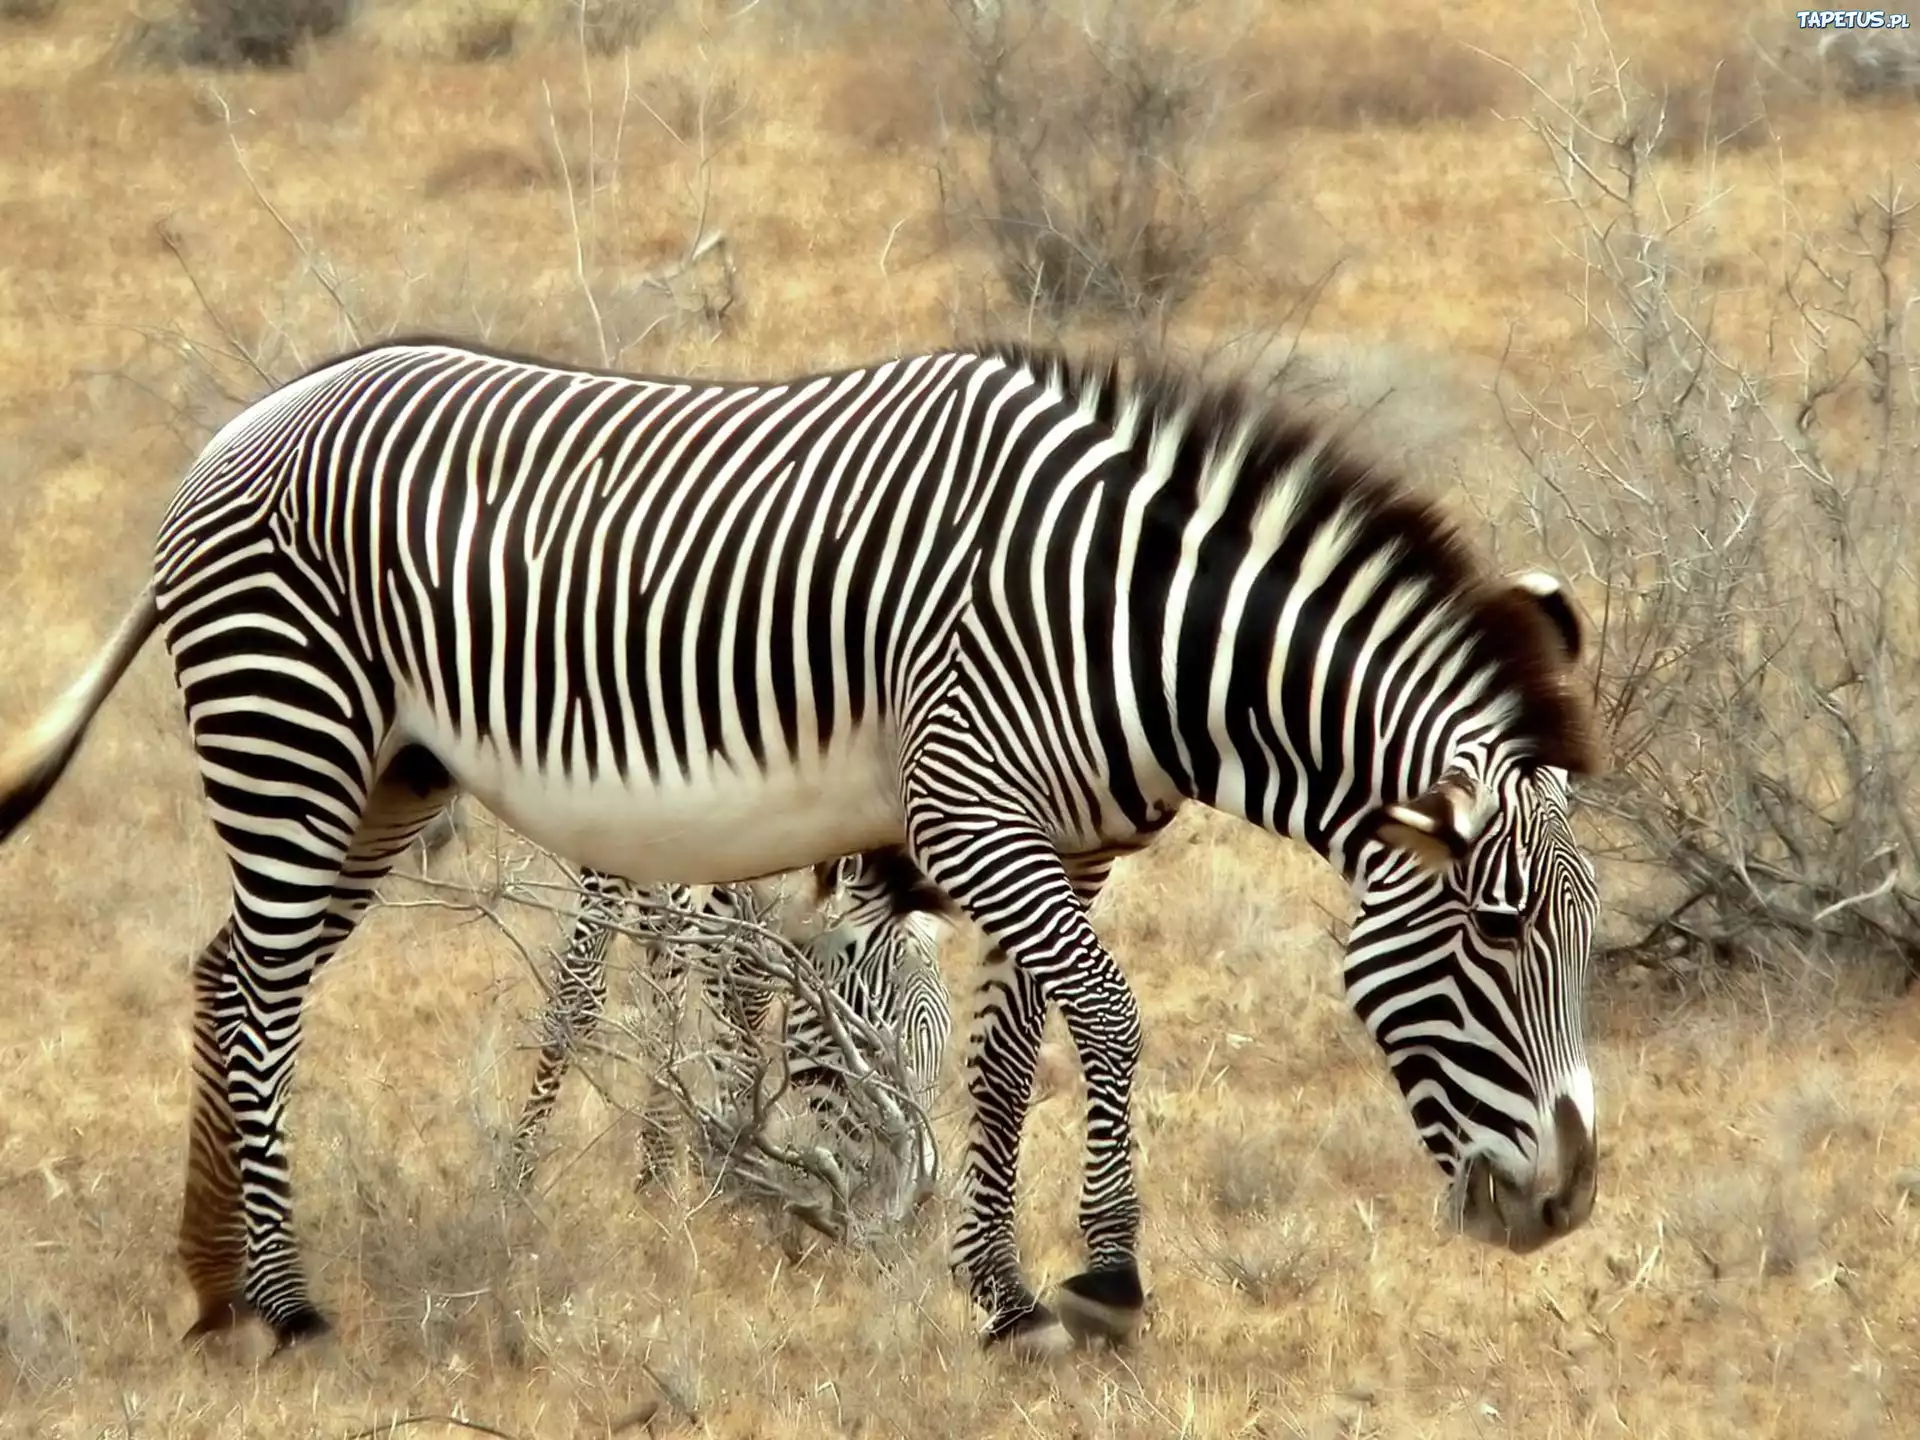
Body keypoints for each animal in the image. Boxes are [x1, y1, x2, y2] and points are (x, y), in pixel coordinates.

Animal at [510, 844, 960, 1205]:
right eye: (874, 1047)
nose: (918, 1199)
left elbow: (724, 972)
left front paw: (710, 1155)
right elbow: (585, 990)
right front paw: (519, 1170)